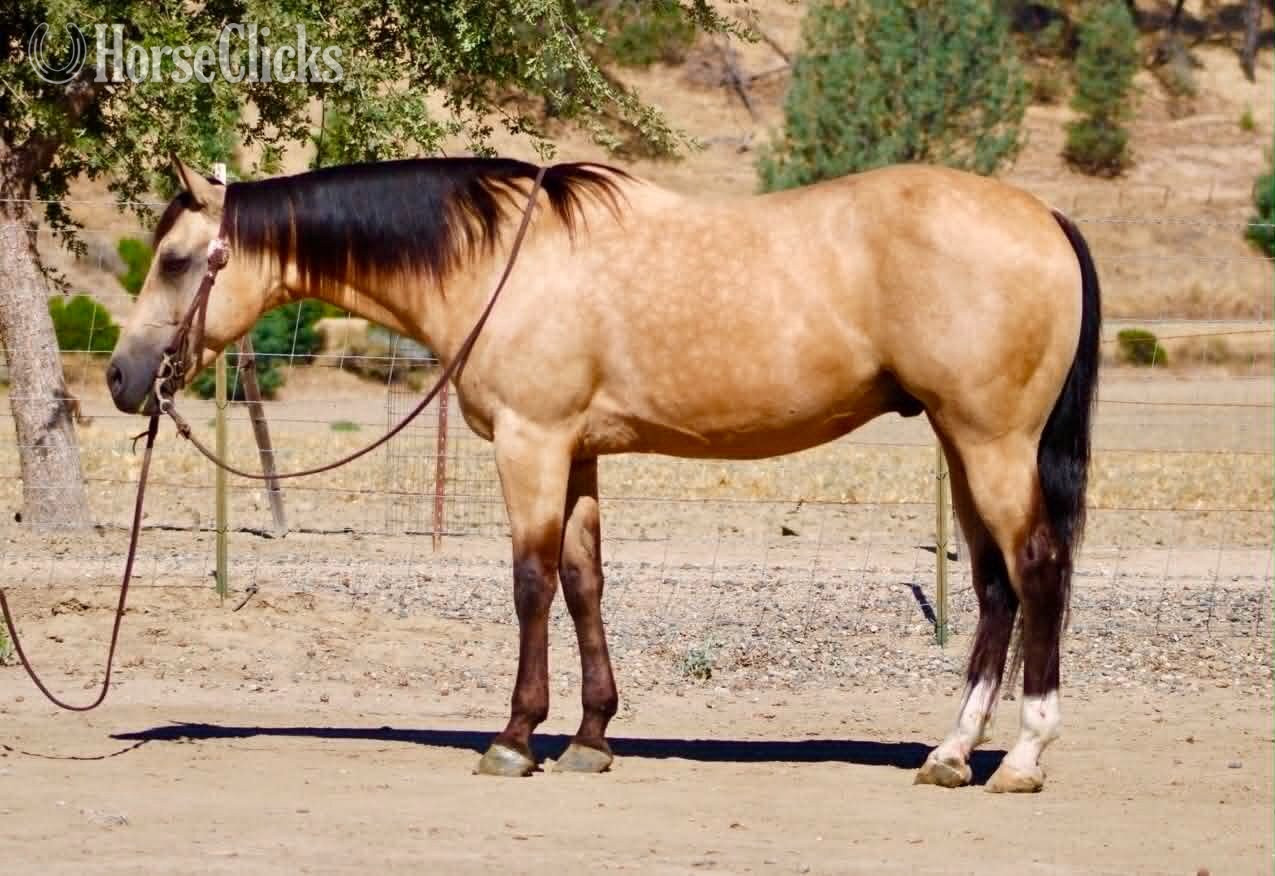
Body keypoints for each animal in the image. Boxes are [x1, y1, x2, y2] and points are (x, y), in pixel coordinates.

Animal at [107, 156, 1100, 792]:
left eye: (177, 261)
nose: (121, 379)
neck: (498, 261)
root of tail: (1044, 218)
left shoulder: (531, 443)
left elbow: (530, 582)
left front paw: (514, 738)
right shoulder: (578, 454)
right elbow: (584, 583)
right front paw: (589, 737)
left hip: (992, 442)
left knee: (1037, 569)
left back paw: (1021, 757)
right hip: (962, 444)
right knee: (993, 587)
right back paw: (950, 753)